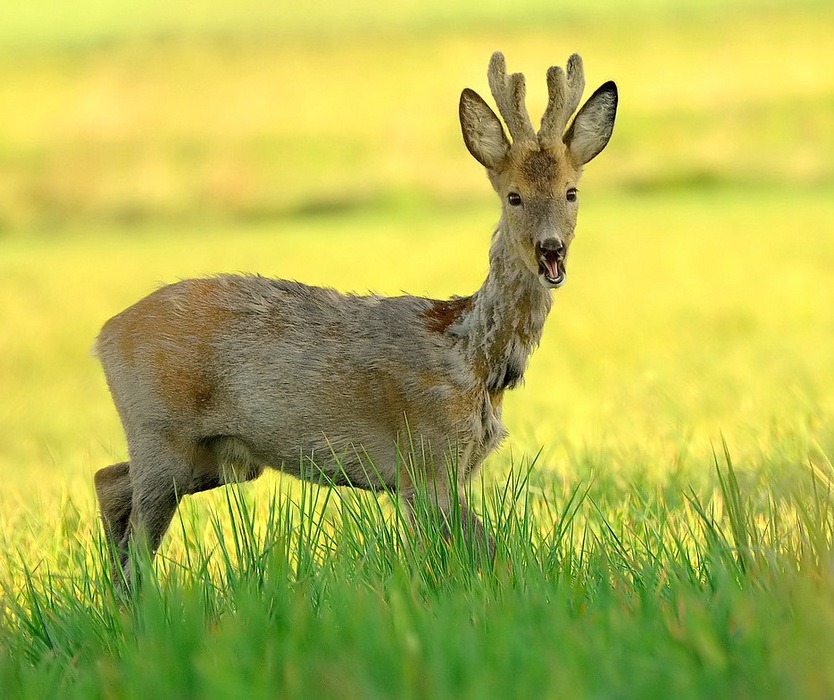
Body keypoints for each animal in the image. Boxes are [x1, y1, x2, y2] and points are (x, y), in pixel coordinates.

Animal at [94, 52, 616, 584]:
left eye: (571, 192)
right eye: (514, 196)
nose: (551, 249)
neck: (473, 357)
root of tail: (105, 333)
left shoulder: (452, 468)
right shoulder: (427, 459)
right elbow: (490, 552)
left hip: (218, 456)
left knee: (110, 482)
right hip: (161, 433)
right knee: (137, 529)